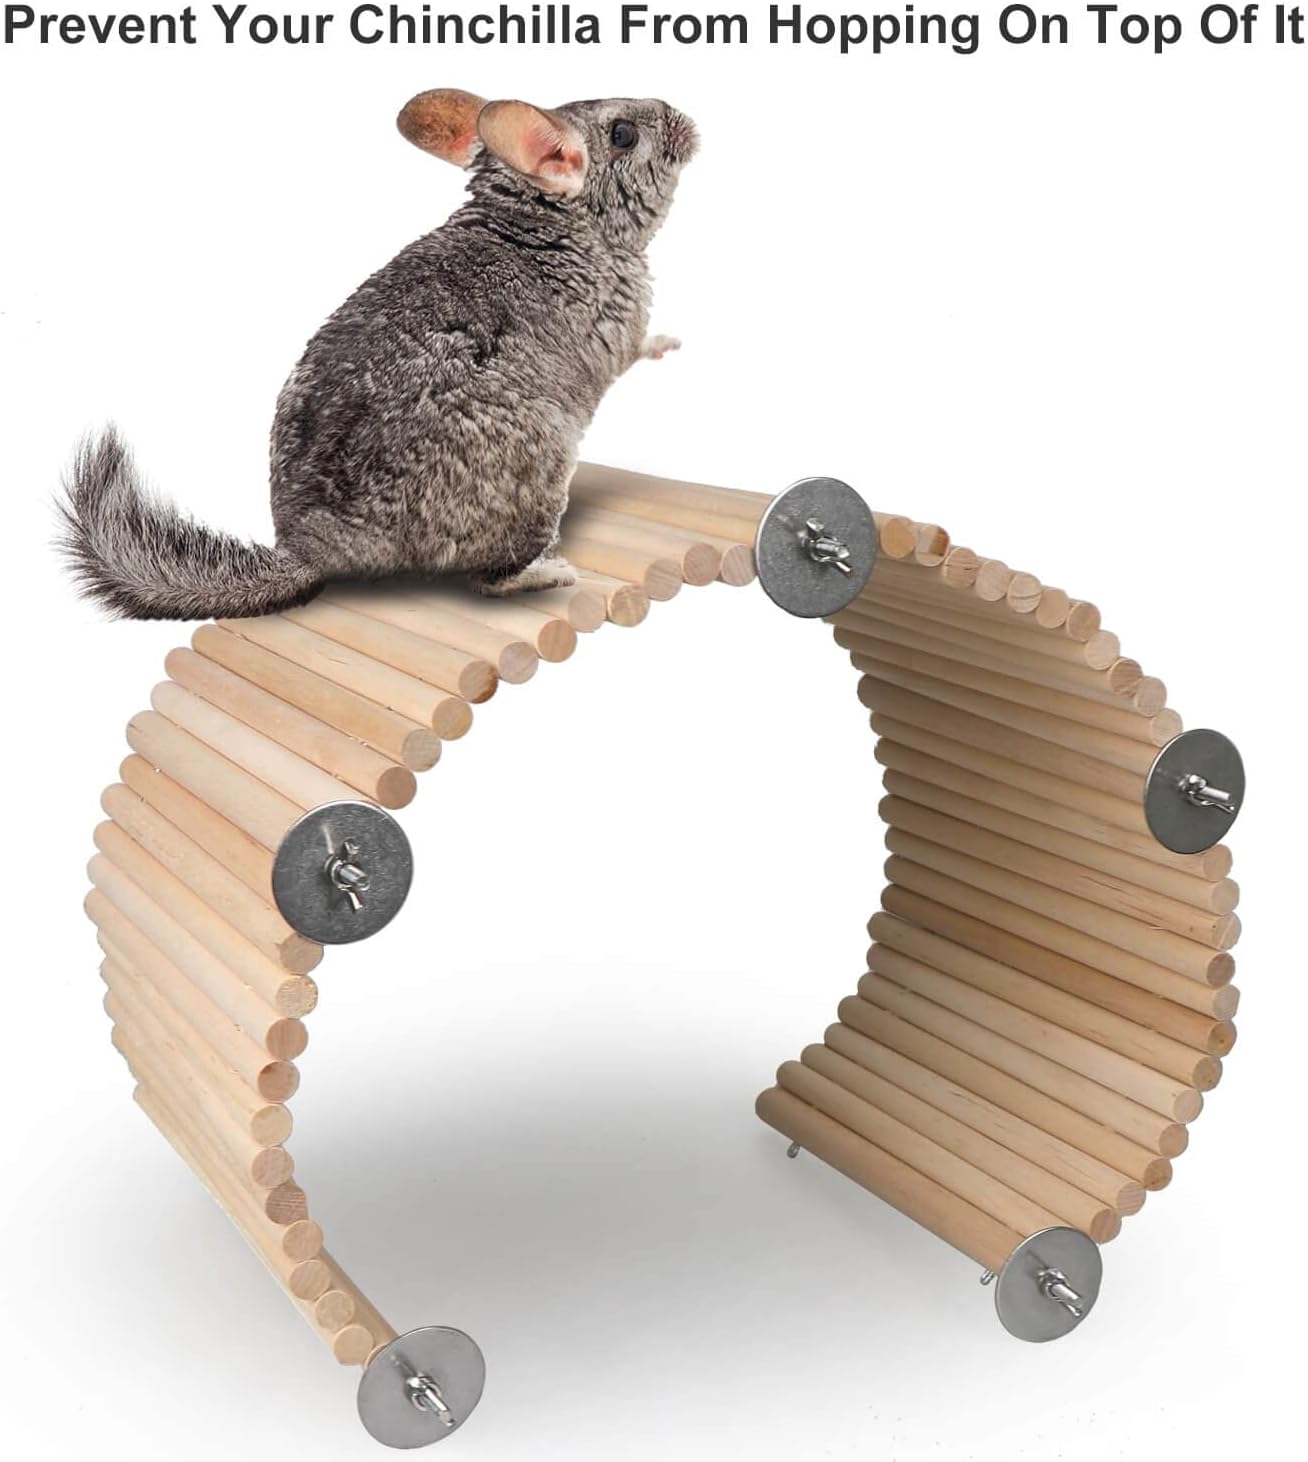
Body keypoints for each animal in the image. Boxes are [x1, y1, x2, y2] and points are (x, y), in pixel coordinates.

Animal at [58, 88, 699, 619]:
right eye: (623, 134)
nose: (684, 116)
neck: (545, 216)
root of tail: (312, 551)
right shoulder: (621, 324)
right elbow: (639, 346)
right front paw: (673, 343)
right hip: (539, 471)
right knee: (488, 580)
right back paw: (551, 574)